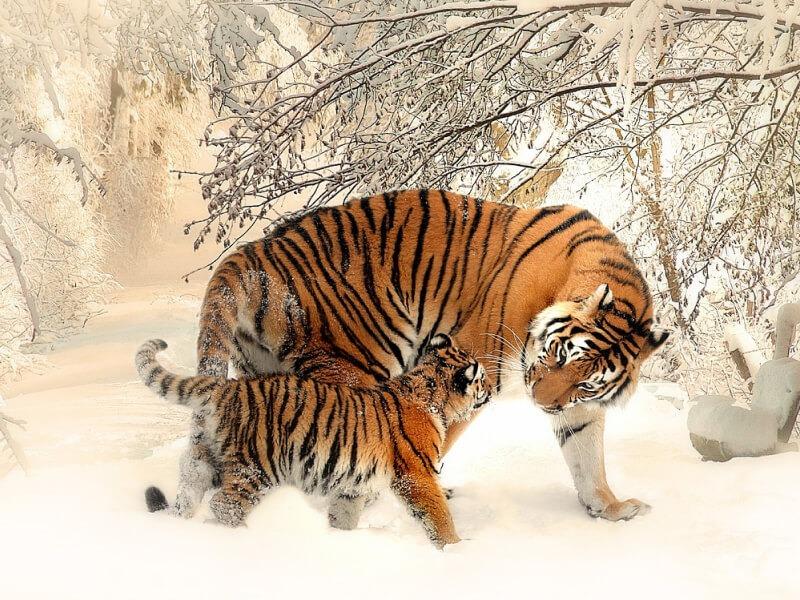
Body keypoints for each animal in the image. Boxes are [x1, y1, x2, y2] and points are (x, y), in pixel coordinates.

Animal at [136, 333, 490, 548]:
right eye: (482, 378)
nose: (490, 390)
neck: (431, 392)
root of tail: (227, 387)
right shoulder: (417, 475)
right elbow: (438, 515)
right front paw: (456, 550)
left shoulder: (353, 484)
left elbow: (344, 514)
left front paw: (338, 539)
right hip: (256, 467)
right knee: (224, 504)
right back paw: (245, 537)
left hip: (203, 460)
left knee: (189, 493)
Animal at [159, 189, 667, 526]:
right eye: (560, 354)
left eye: (587, 381)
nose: (542, 404)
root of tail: (253, 252)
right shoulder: (474, 364)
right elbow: (435, 439)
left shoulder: (579, 407)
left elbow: (587, 455)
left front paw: (609, 507)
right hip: (356, 363)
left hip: (263, 374)